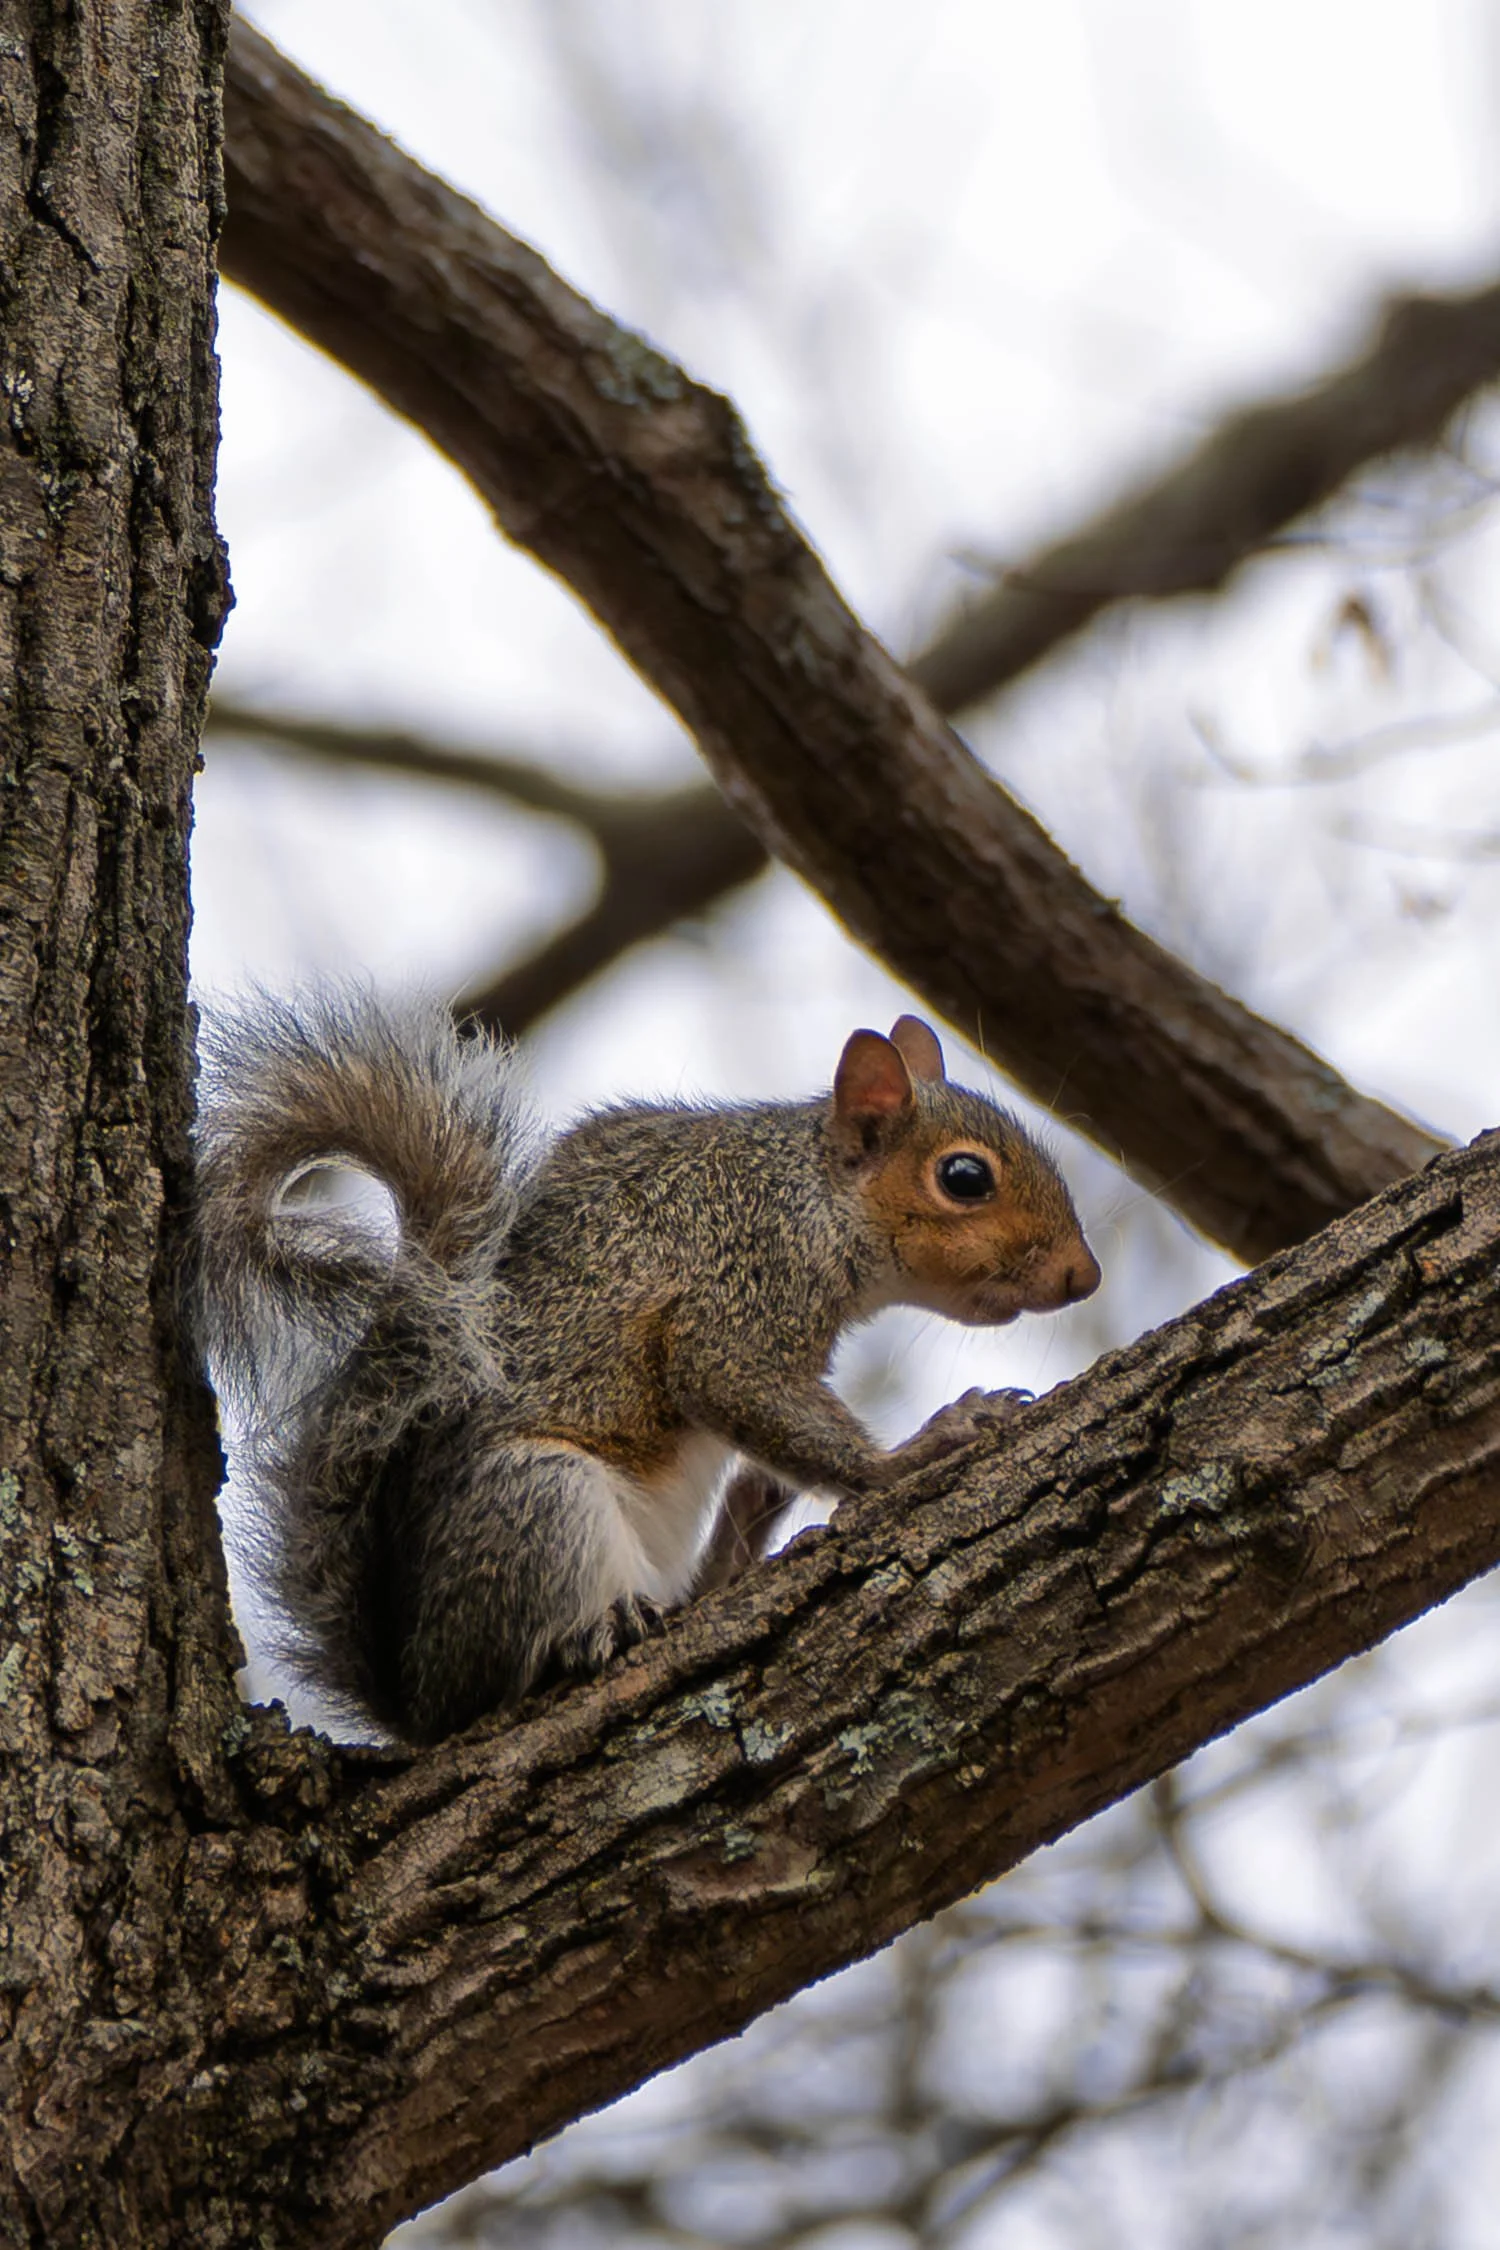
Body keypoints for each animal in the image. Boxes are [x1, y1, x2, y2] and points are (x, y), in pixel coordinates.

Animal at [193, 989, 1100, 1745]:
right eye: (964, 1177)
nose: (1082, 1278)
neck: (812, 1197)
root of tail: (416, 1698)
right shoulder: (736, 1290)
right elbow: (732, 1381)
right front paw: (914, 1453)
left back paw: (740, 1534)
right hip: (537, 1499)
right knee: (505, 1670)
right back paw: (590, 1634)